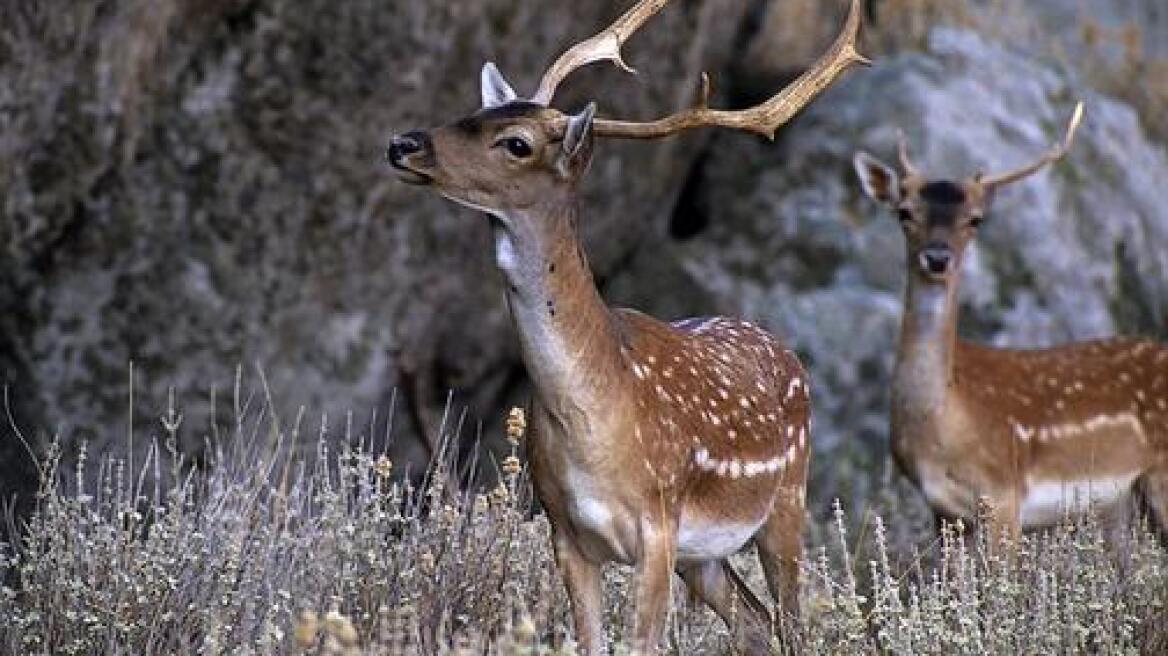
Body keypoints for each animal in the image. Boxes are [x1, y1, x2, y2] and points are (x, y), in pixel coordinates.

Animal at [390, 0, 868, 648]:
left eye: (515, 143)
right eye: (476, 111)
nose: (404, 143)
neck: (591, 419)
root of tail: (781, 347)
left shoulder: (658, 525)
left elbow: (644, 642)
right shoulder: (564, 531)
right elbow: (588, 641)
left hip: (787, 499)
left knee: (792, 625)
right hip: (704, 556)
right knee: (754, 624)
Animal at [850, 106, 1168, 546]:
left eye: (975, 220)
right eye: (904, 212)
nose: (937, 258)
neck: (941, 425)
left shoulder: (1004, 494)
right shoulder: (943, 511)